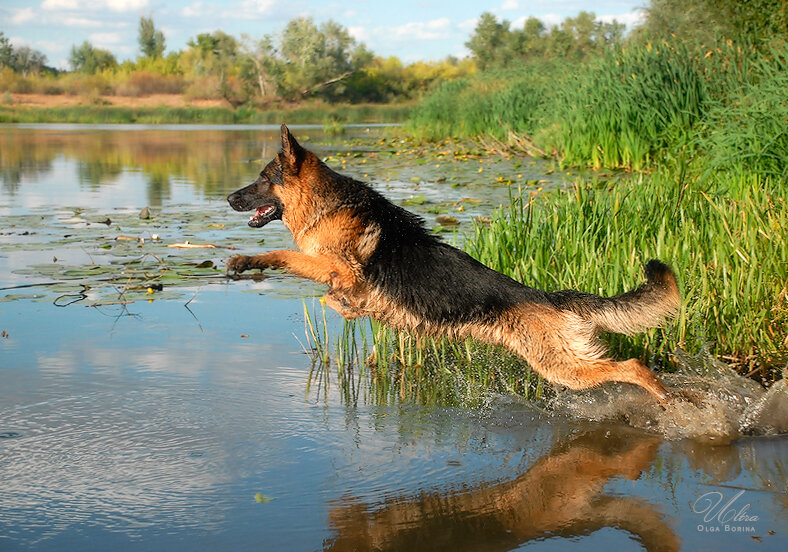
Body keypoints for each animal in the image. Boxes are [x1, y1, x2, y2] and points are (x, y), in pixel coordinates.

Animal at [225, 125, 680, 402]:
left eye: (263, 179)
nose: (228, 197)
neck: (326, 205)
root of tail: (550, 297)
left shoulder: (341, 270)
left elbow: (288, 257)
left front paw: (248, 259)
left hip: (564, 366)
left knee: (634, 366)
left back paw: (667, 401)